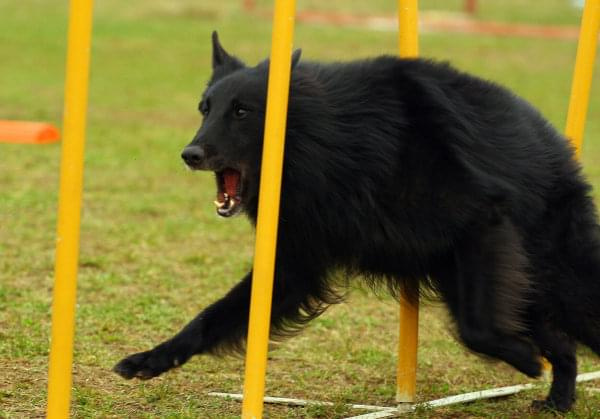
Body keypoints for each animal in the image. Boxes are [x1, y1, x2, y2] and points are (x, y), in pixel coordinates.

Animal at [115, 32, 600, 414]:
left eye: (241, 112)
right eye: (205, 108)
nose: (190, 154)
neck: (334, 142)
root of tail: (554, 142)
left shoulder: (482, 222)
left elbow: (476, 329)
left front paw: (523, 358)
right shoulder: (293, 266)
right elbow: (210, 317)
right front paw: (150, 359)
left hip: (553, 279)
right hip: (505, 285)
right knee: (563, 345)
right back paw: (558, 401)